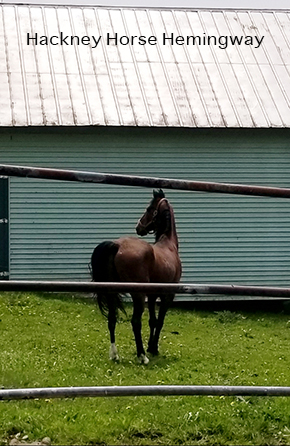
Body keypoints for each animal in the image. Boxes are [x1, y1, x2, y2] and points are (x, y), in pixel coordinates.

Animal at [90, 188, 181, 362]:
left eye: (149, 209)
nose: (138, 227)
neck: (169, 244)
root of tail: (117, 245)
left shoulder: (152, 296)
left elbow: (153, 321)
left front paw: (151, 347)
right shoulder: (168, 295)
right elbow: (160, 321)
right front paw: (152, 348)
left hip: (112, 292)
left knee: (112, 319)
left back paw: (115, 355)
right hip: (138, 295)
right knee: (135, 321)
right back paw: (142, 356)